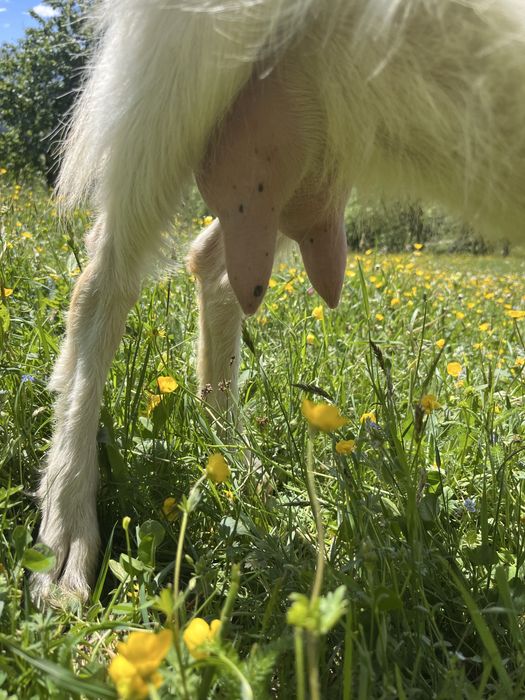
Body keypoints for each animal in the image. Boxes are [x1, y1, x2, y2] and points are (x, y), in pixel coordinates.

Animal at [32, 0, 525, 603]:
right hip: (182, 67)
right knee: (102, 284)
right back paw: (65, 542)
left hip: (305, 150)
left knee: (215, 264)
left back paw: (236, 463)